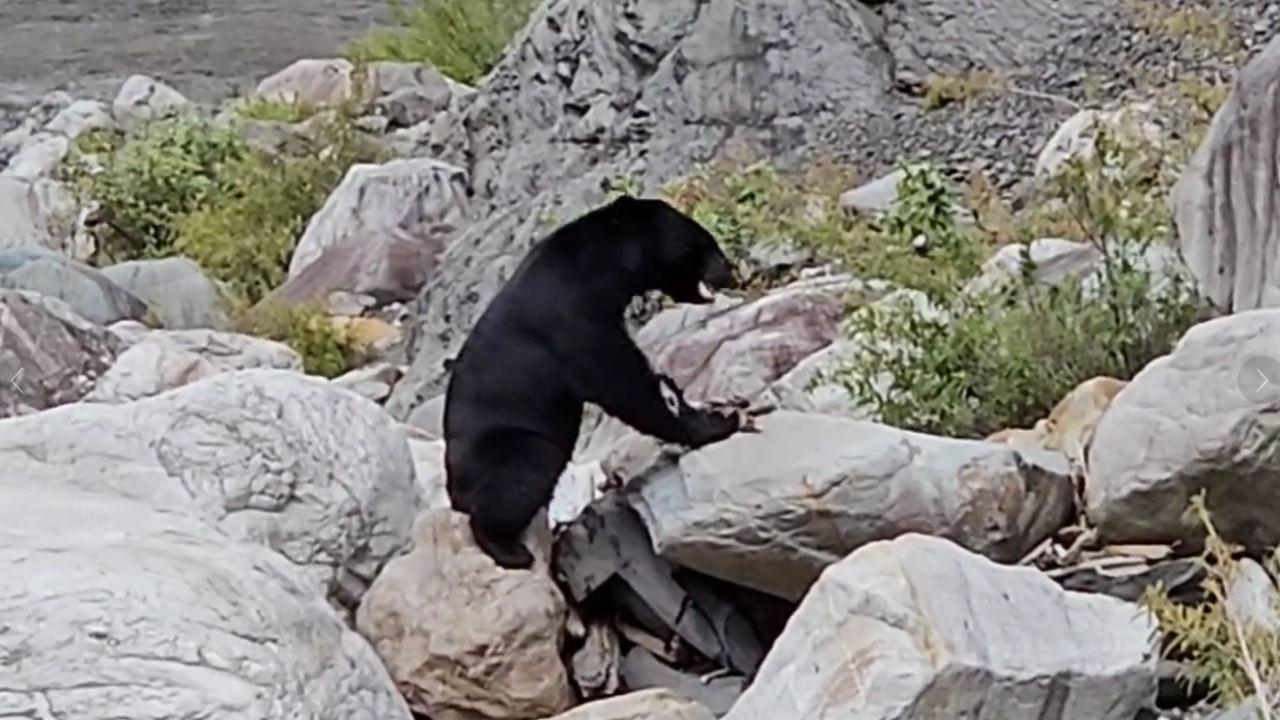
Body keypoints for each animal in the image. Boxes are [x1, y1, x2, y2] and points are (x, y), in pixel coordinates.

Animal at [443, 194, 745, 570]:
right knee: (526, 471)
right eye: (707, 244)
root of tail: (454, 490)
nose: (732, 271)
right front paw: (716, 424)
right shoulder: (576, 322)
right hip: (504, 446)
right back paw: (509, 549)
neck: (601, 268)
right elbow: (624, 384)